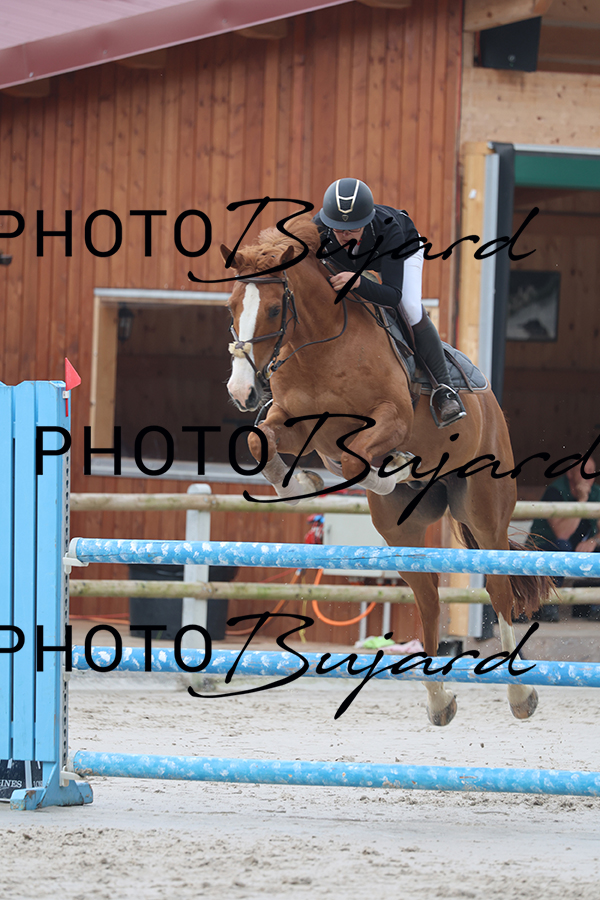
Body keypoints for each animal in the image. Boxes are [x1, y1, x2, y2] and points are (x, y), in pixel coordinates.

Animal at [223, 215, 552, 726]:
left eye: (276, 309)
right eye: (233, 306)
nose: (241, 392)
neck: (319, 347)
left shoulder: (391, 419)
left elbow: (357, 457)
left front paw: (392, 465)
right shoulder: (291, 423)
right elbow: (261, 440)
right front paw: (302, 480)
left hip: (484, 512)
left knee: (498, 590)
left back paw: (520, 695)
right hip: (400, 531)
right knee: (430, 600)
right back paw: (439, 700)